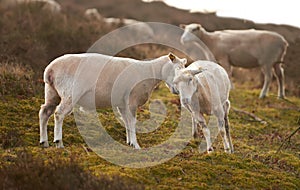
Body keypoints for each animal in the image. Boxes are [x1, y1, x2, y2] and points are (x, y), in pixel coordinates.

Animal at [38, 52, 186, 148]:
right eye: (177, 68)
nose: (177, 91)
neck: (149, 72)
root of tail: (50, 69)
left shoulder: (122, 103)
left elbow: (126, 121)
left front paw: (129, 143)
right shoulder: (131, 100)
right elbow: (132, 122)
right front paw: (136, 145)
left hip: (52, 92)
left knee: (45, 112)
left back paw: (44, 142)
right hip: (70, 93)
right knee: (59, 114)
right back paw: (59, 142)